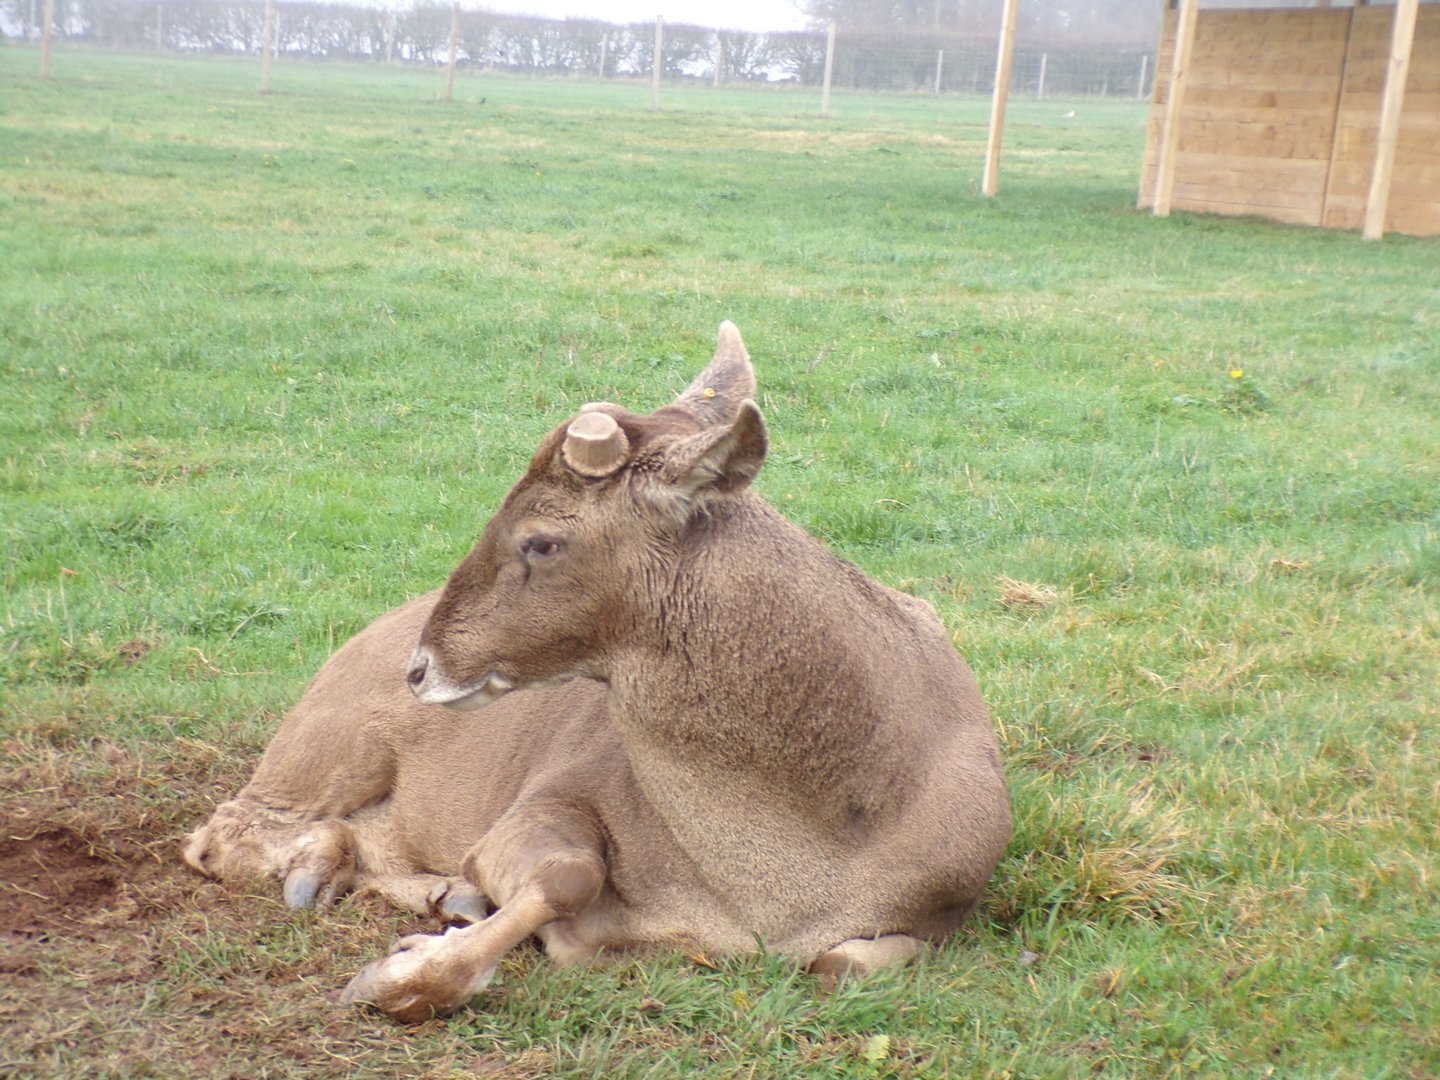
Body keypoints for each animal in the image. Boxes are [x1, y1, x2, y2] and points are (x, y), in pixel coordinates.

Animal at [182, 322, 1011, 1023]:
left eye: (541, 540)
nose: (420, 666)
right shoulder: (550, 789)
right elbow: (567, 876)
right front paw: (398, 975)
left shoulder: (943, 905)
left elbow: (850, 963)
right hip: (332, 739)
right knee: (214, 832)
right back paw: (321, 874)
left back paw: (429, 891)